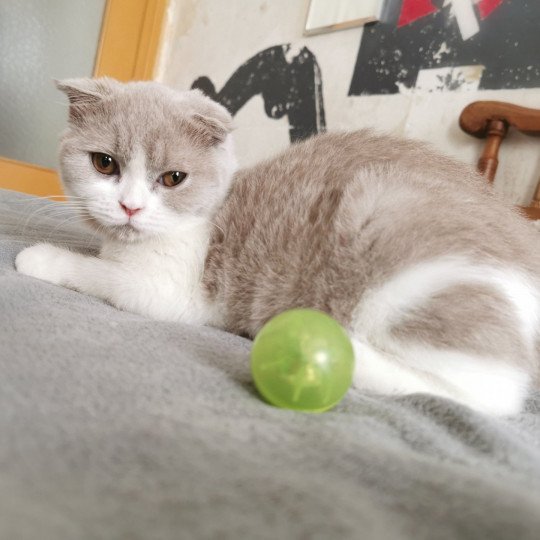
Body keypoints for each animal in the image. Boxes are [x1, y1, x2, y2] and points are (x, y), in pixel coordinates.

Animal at [15, 77, 540, 414]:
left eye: (173, 178)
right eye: (104, 163)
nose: (130, 206)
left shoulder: (171, 293)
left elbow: (99, 274)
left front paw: (40, 257)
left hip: (390, 235)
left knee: (489, 394)